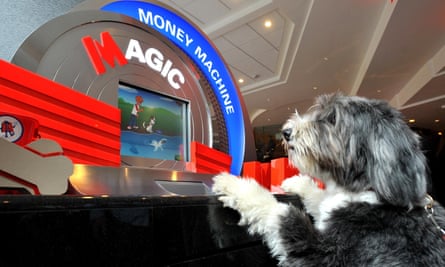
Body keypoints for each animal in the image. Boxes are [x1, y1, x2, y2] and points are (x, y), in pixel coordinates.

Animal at [212, 93, 444, 266]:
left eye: (333, 119)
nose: (286, 131)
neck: (370, 190)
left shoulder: (323, 255)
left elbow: (281, 214)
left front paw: (237, 186)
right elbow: (321, 199)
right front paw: (298, 182)